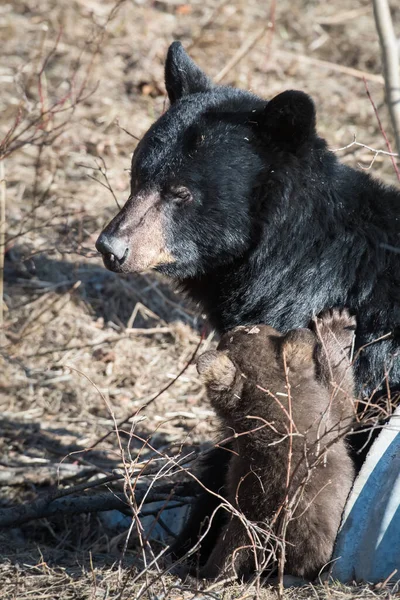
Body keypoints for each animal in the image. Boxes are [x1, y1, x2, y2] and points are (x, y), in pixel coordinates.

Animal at [195, 308, 354, 580]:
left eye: (248, 330)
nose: (233, 327)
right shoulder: (325, 414)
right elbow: (342, 393)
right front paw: (336, 323)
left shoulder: (320, 413)